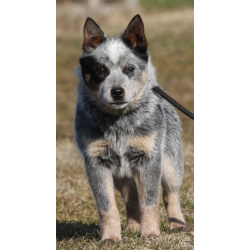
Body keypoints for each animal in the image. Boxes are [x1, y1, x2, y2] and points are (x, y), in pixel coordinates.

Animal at [75, 14, 187, 242]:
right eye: (101, 70)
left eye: (130, 68)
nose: (117, 91)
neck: (119, 122)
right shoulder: (96, 162)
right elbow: (107, 207)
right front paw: (110, 238)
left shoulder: (150, 158)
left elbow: (150, 202)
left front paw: (151, 234)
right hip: (121, 174)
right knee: (132, 197)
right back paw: (133, 228)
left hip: (171, 163)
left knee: (171, 194)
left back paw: (177, 225)